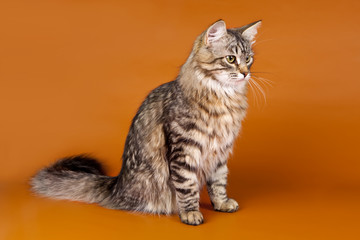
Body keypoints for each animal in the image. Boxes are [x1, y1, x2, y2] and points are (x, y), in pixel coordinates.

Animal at [31, 19, 262, 226]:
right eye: (231, 59)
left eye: (248, 59)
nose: (245, 73)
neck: (223, 98)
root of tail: (116, 185)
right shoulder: (184, 149)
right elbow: (187, 186)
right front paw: (190, 213)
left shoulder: (220, 152)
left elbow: (219, 183)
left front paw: (222, 204)